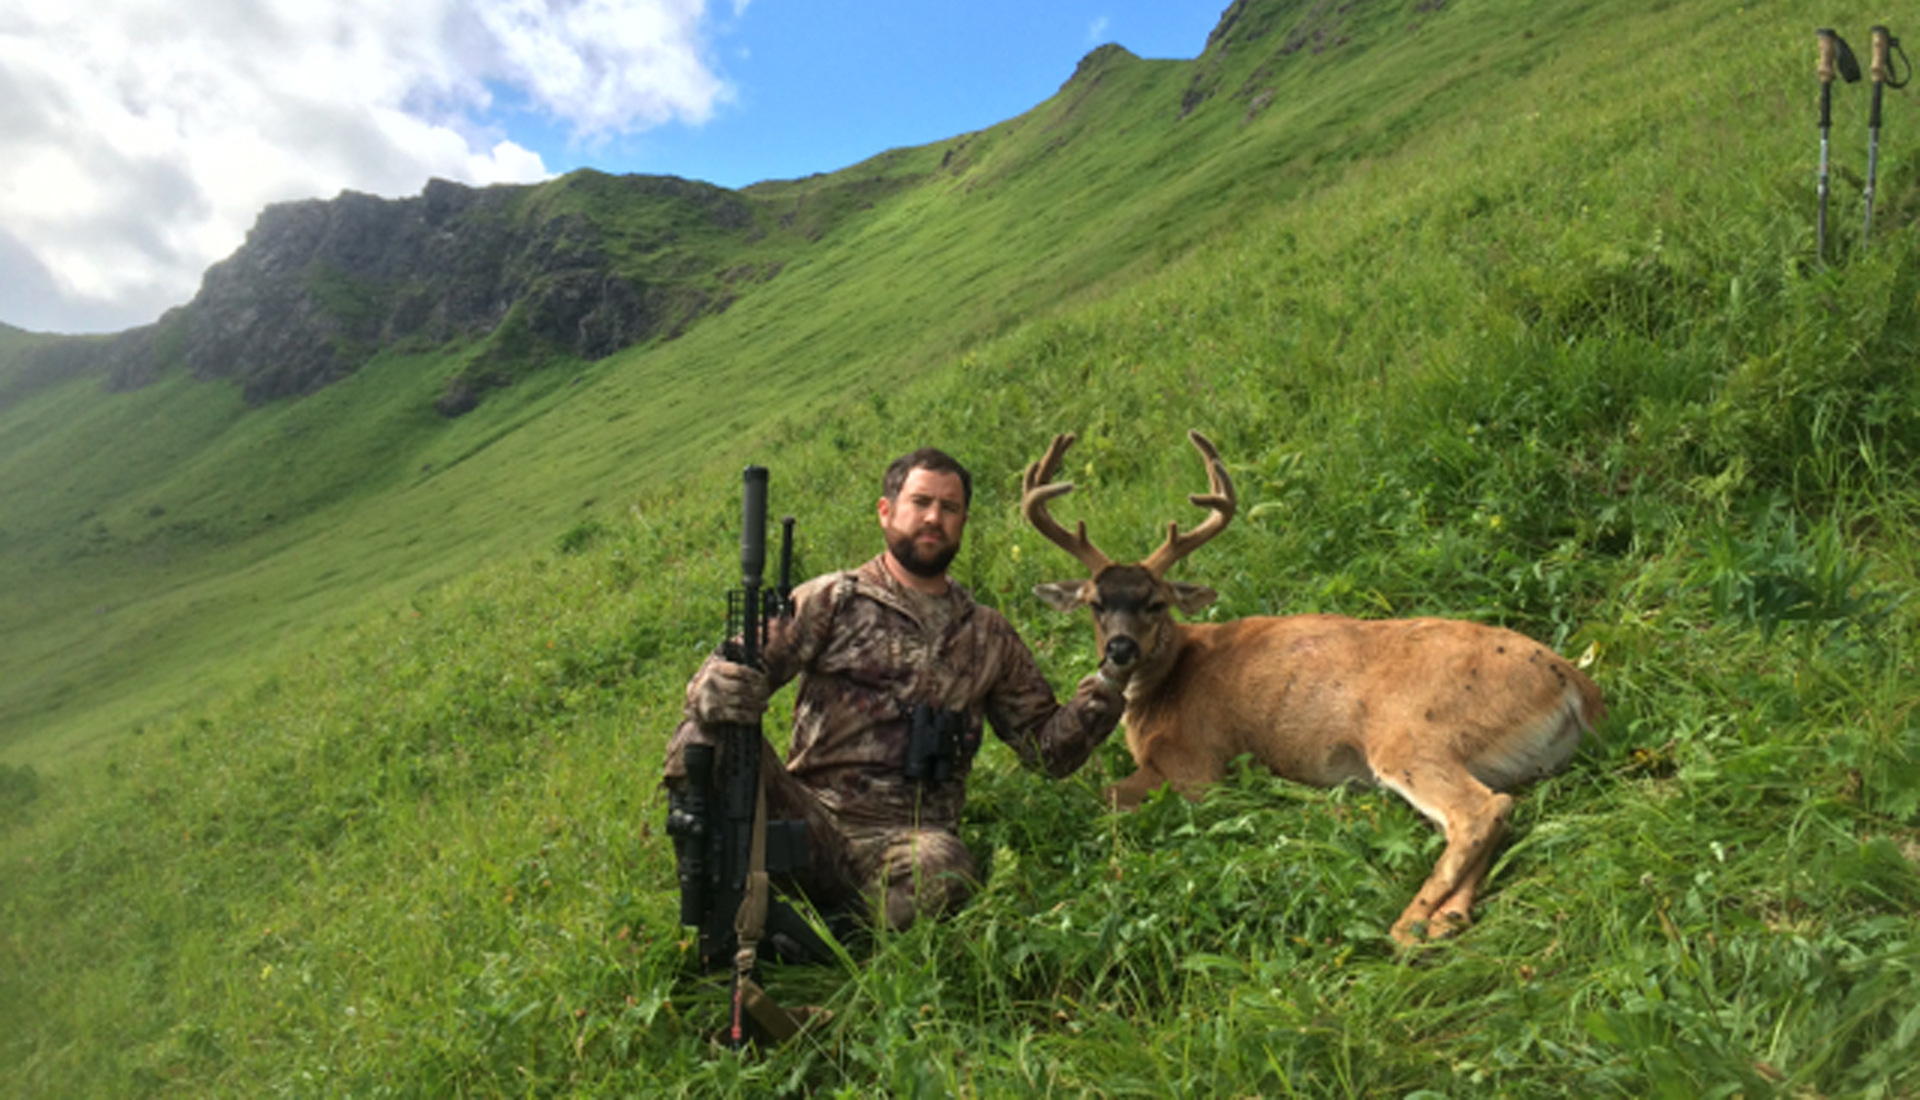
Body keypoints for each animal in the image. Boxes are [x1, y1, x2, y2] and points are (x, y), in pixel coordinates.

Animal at [1021, 428, 1605, 944]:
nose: (1120, 649)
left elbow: (1099, 800)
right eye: (1095, 603)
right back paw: (1445, 918)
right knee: (1494, 812)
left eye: (1156, 602)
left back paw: (1408, 926)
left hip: (1409, 735)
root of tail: (1578, 685)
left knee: (1479, 811)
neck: (1167, 685)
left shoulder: (1198, 768)